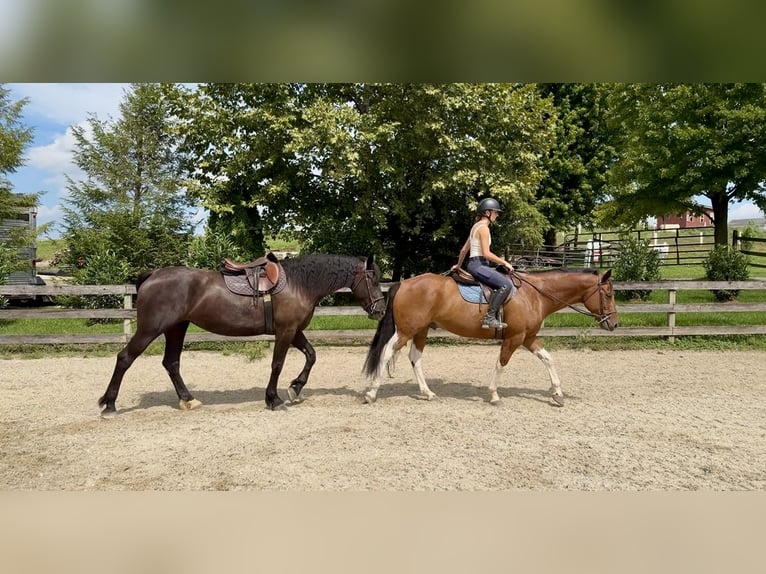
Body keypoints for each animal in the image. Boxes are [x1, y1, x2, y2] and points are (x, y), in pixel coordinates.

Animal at [98, 253, 385, 416]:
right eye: (372, 279)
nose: (380, 309)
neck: (298, 284)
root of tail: (152, 275)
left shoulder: (294, 331)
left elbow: (312, 356)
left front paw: (295, 388)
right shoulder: (286, 331)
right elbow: (277, 364)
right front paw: (274, 399)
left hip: (176, 328)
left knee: (171, 363)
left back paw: (188, 400)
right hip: (150, 329)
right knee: (125, 358)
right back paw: (109, 405)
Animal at [362, 268, 617, 405]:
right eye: (608, 294)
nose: (614, 323)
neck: (534, 294)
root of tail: (404, 283)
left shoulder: (528, 338)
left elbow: (548, 358)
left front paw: (557, 394)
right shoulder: (515, 338)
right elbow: (501, 363)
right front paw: (494, 395)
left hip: (421, 330)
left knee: (415, 358)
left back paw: (427, 393)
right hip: (406, 331)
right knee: (386, 352)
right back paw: (372, 393)